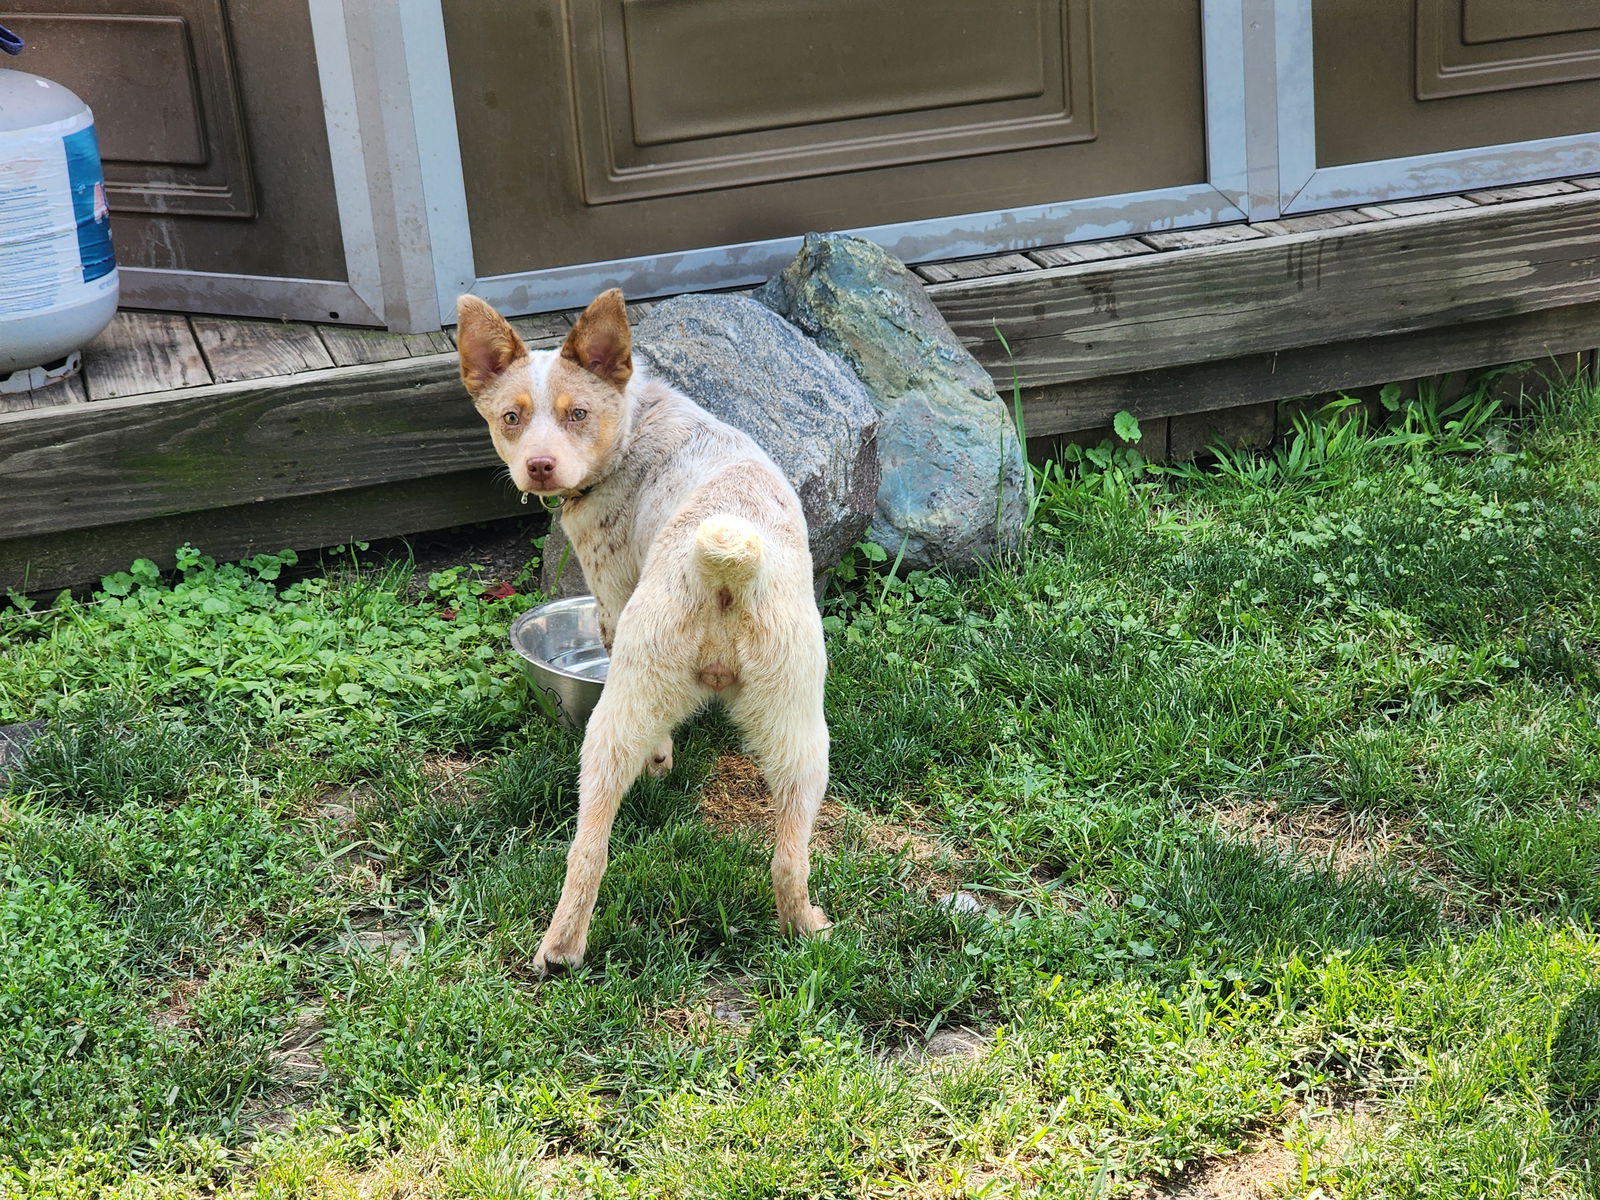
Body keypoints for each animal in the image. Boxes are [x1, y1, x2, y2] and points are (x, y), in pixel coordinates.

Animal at [460, 291, 838, 979]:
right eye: (511, 417)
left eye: (577, 413)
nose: (539, 467)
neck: (633, 422)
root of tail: (725, 567)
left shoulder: (611, 597)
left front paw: (661, 759)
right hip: (802, 737)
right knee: (787, 857)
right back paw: (804, 927)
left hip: (616, 718)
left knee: (589, 847)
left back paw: (561, 948)